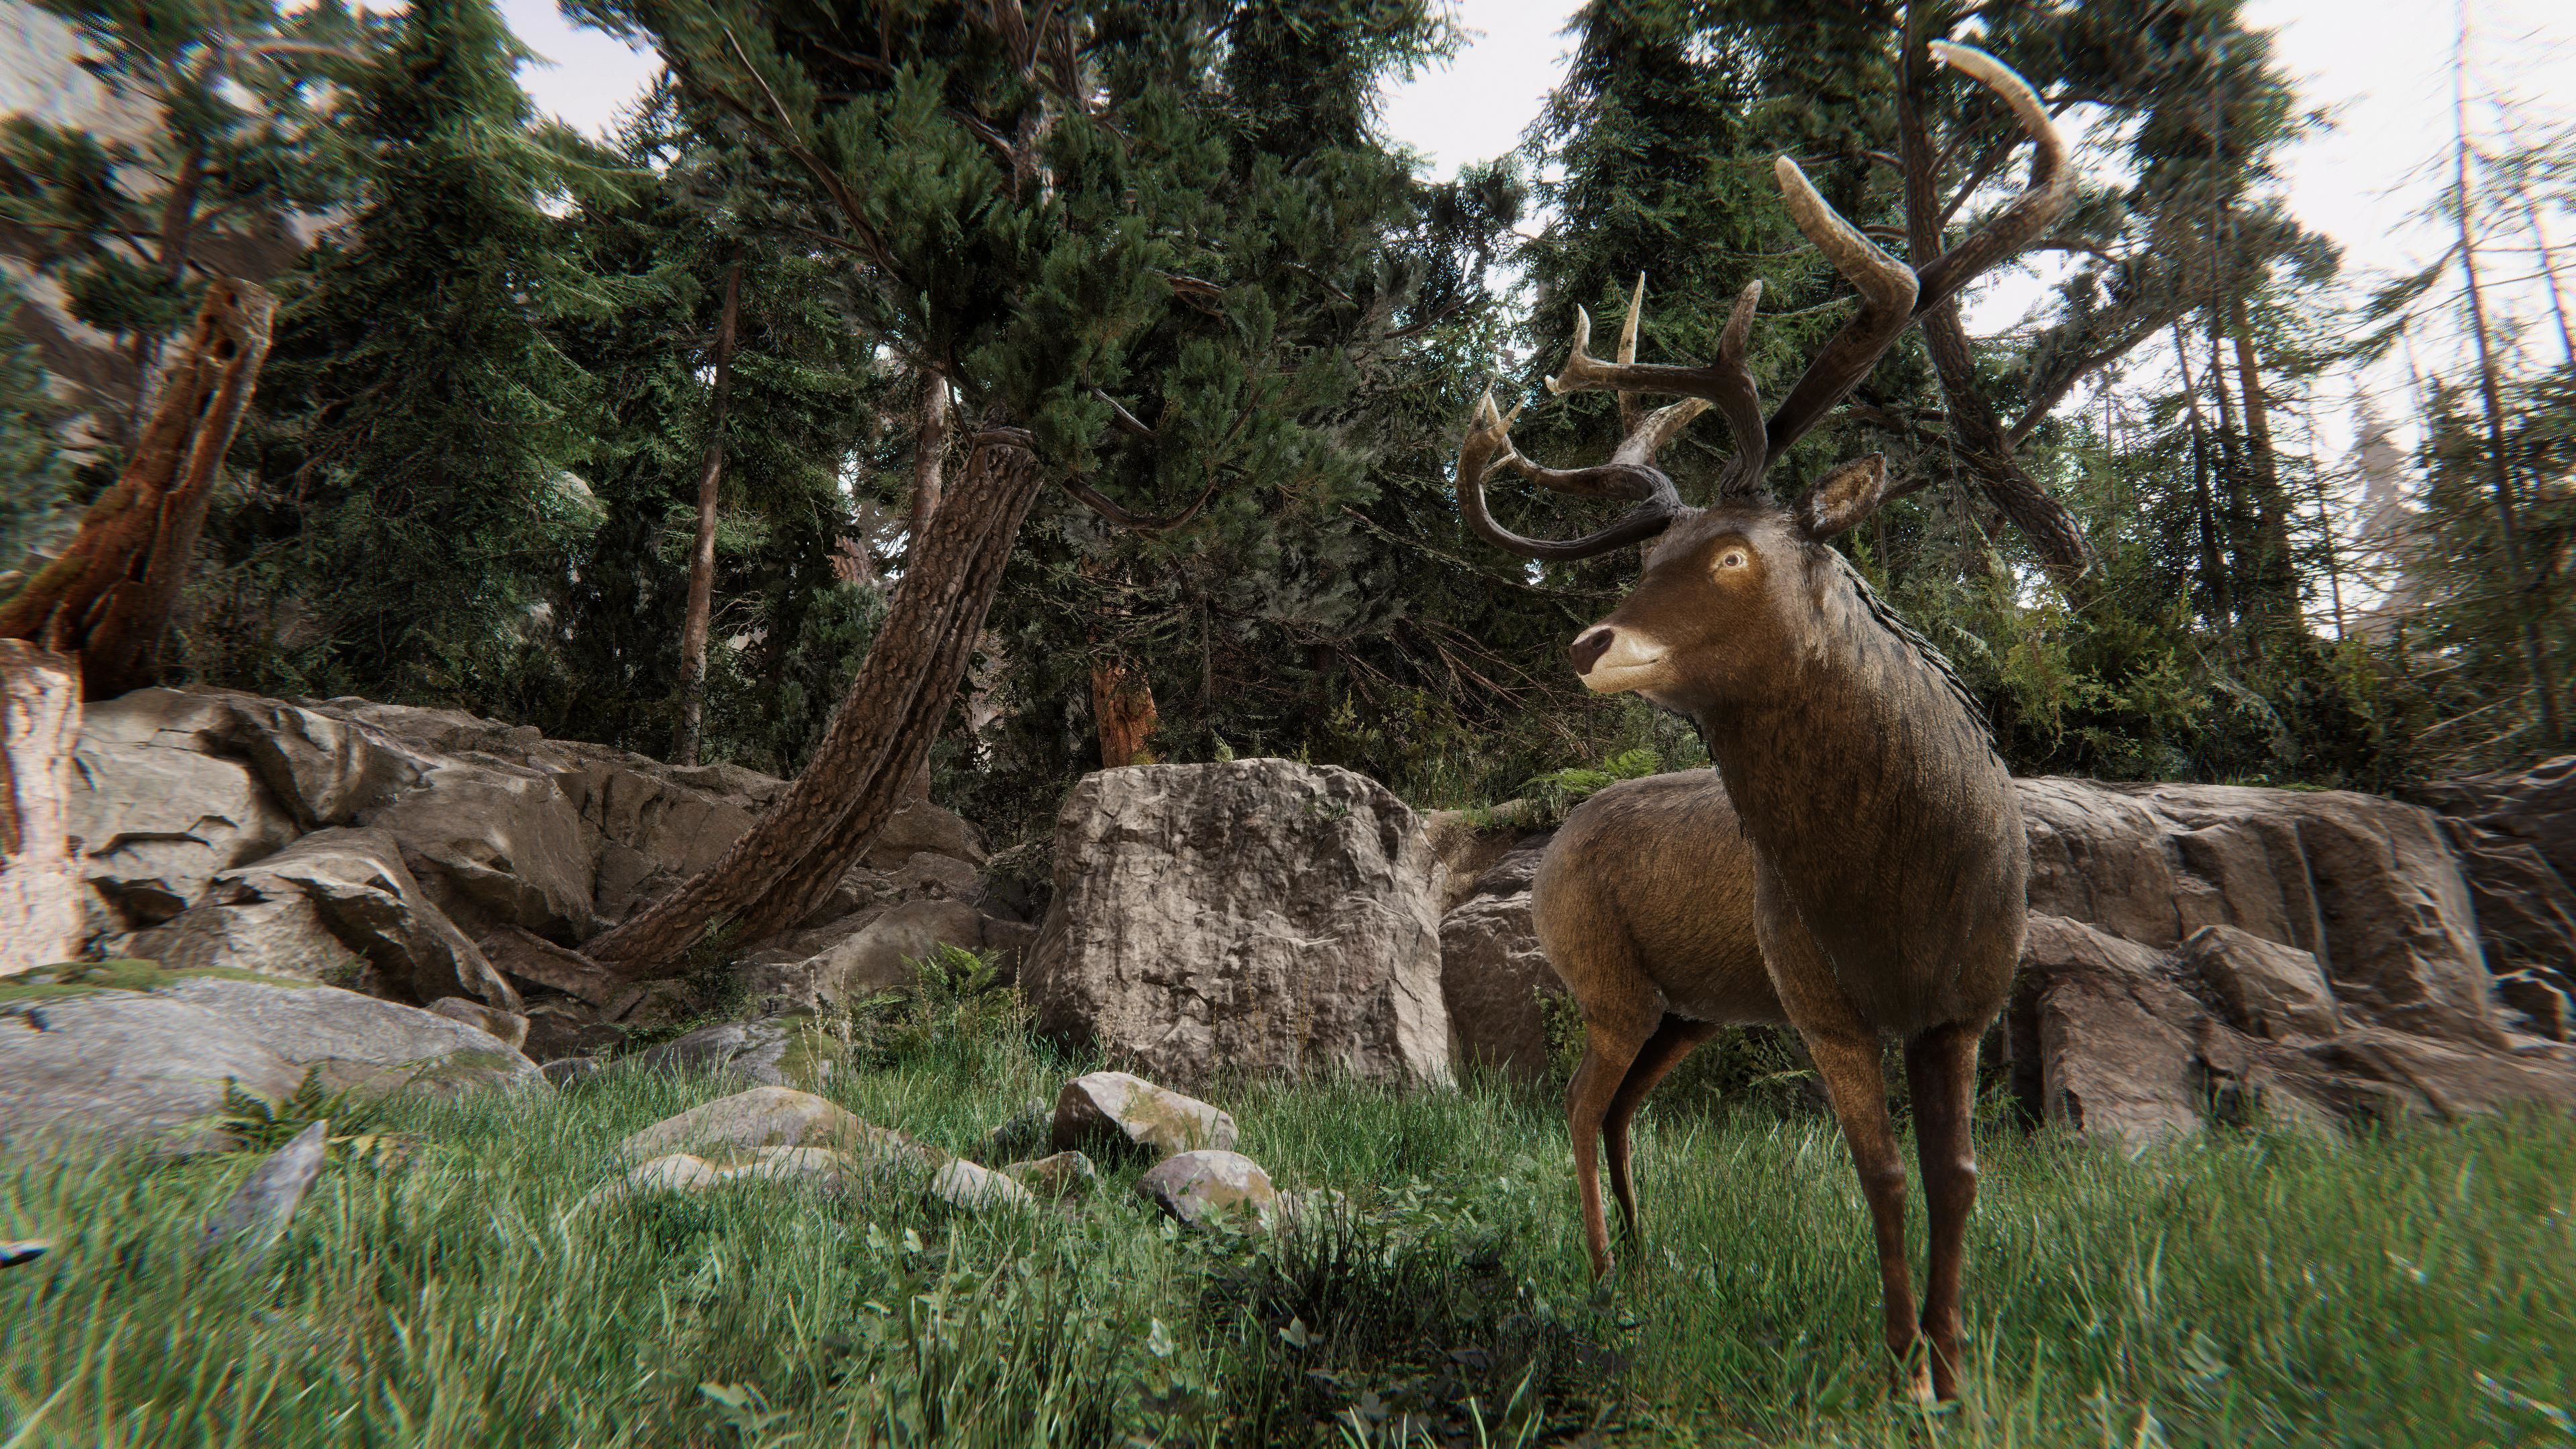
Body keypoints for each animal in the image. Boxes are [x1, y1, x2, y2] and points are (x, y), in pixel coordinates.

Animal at [1452, 42, 2073, 1403]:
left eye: (1734, 554)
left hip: (1689, 1009)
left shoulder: (1965, 1002)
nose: (1590, 644)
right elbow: (1880, 1173)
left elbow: (1958, 1174)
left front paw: (1956, 1364)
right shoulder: (1821, 996)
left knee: (1621, 1109)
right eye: (1652, 553)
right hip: (1607, 980)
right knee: (1575, 1105)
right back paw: (1597, 1275)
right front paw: (1899, 1374)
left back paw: (1645, 1260)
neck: (1899, 888)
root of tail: (1553, 846)